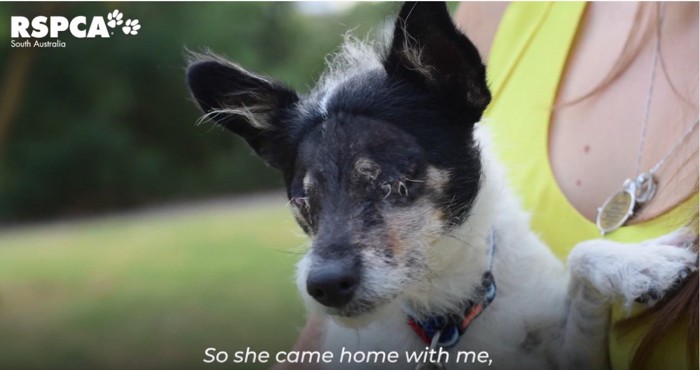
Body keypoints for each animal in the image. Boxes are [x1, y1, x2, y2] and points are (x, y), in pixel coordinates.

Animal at [187, 2, 700, 368]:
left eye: (393, 178)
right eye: (302, 203)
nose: (325, 286)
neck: (443, 314)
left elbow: (580, 257)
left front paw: (640, 264)